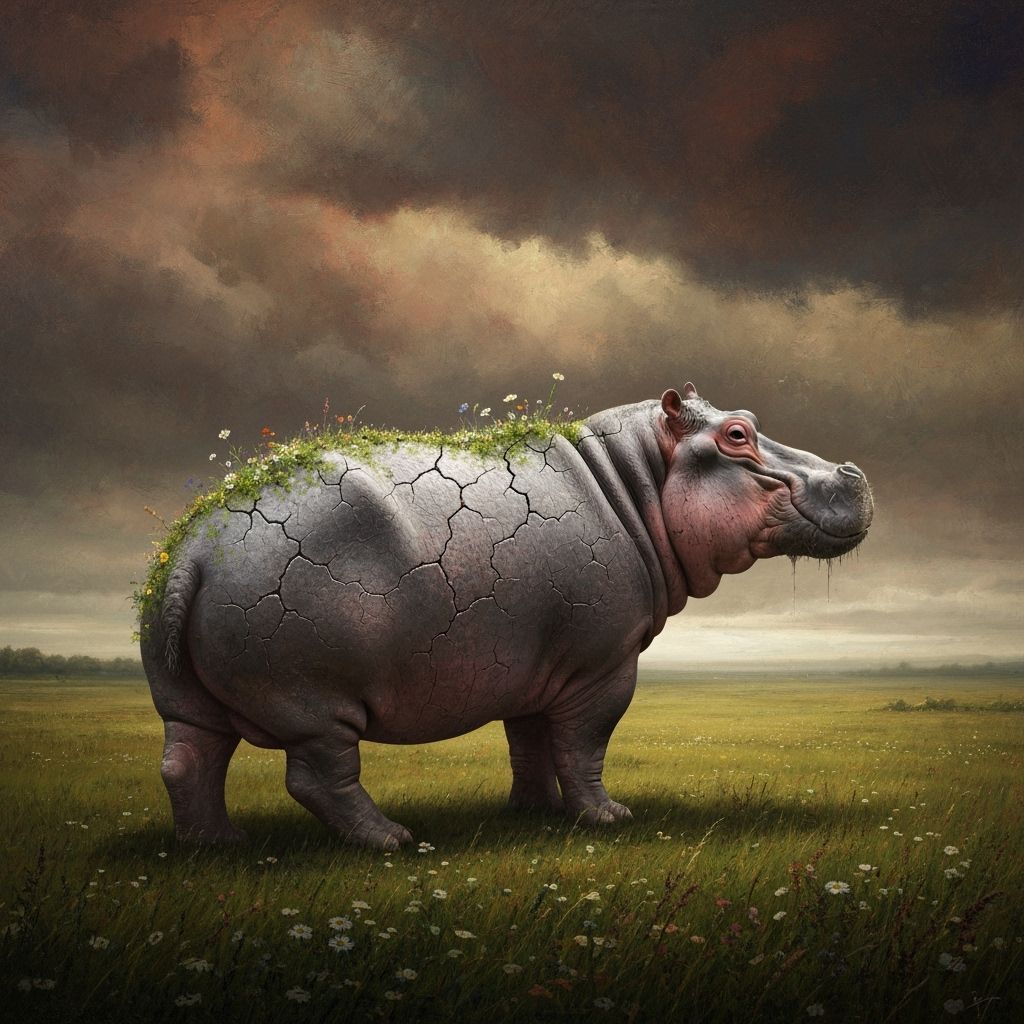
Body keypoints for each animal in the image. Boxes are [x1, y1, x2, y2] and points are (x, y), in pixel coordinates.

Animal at [141, 384, 872, 849]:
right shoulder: (603, 666)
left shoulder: (534, 667)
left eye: (744, 416)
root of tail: (190, 550)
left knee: (187, 764)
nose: (852, 469)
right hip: (315, 700)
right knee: (319, 777)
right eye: (737, 434)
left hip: (189, 701)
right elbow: (583, 745)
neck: (637, 478)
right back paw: (390, 840)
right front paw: (609, 818)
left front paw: (533, 813)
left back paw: (220, 845)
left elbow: (529, 743)